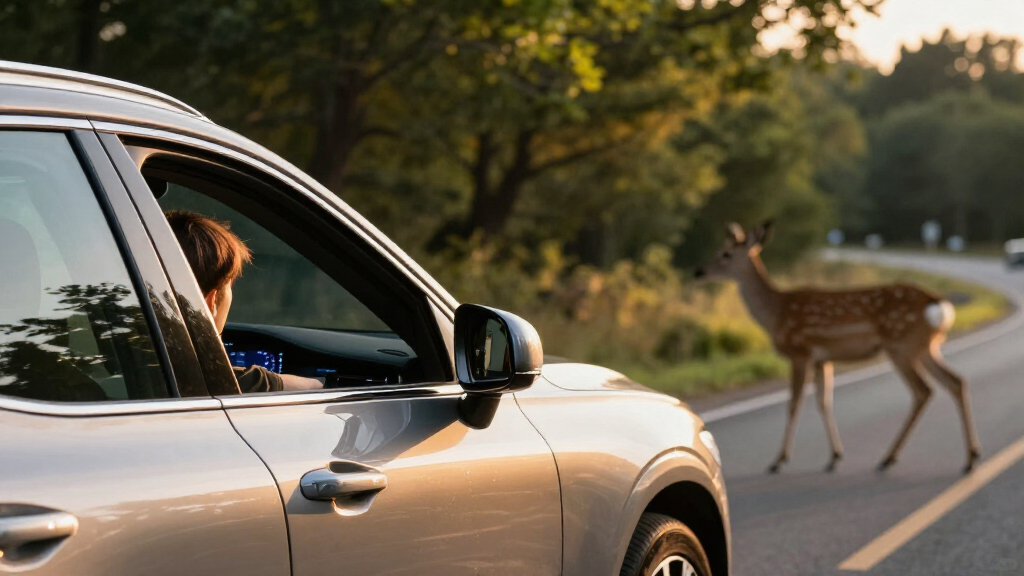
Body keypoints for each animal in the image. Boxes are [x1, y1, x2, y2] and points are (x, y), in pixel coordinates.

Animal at [694, 221, 981, 474]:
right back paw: (971, 457)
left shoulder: (800, 351)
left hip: (901, 345)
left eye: (725, 253)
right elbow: (824, 402)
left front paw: (778, 461)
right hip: (926, 347)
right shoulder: (823, 358)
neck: (776, 313)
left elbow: (794, 404)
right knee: (957, 381)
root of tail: (939, 305)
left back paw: (888, 459)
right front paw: (834, 457)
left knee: (923, 391)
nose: (698, 271)